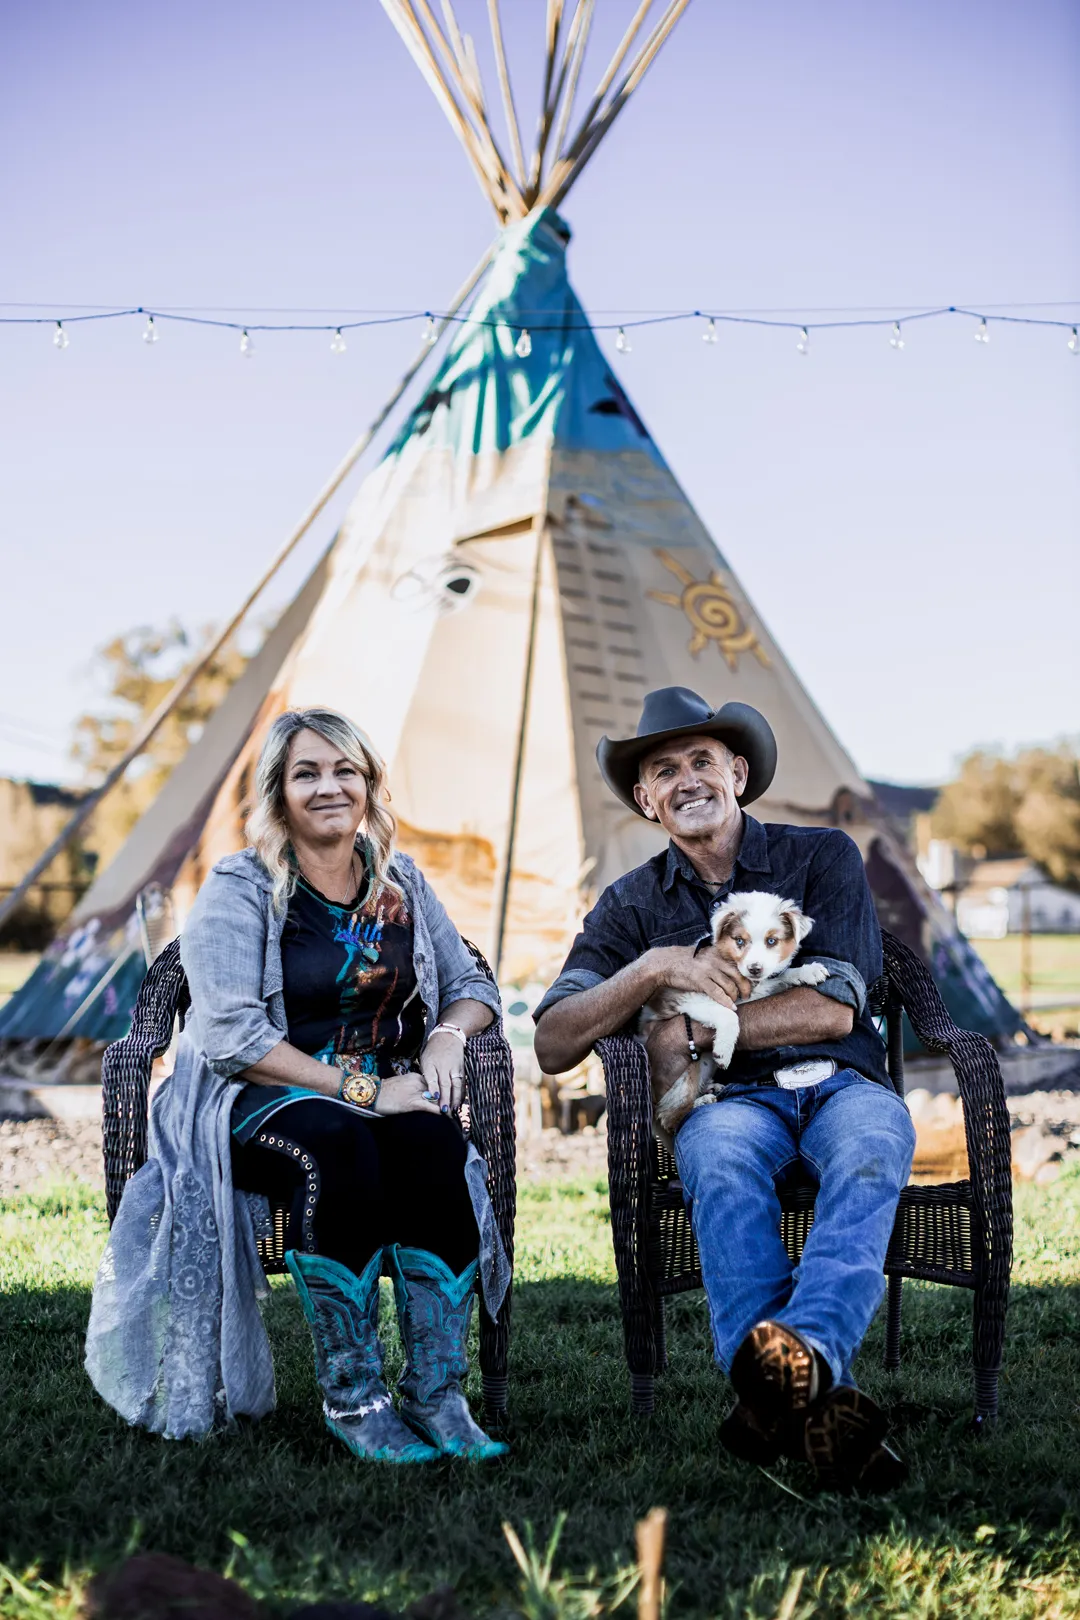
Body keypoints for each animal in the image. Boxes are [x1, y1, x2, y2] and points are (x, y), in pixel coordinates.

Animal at [640, 890, 830, 1138]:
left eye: (771, 941)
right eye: (740, 941)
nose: (754, 968)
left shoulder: (759, 987)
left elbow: (780, 976)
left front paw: (808, 971)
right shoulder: (692, 996)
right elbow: (730, 1015)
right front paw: (724, 1049)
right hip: (680, 1076)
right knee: (671, 1117)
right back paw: (700, 1102)